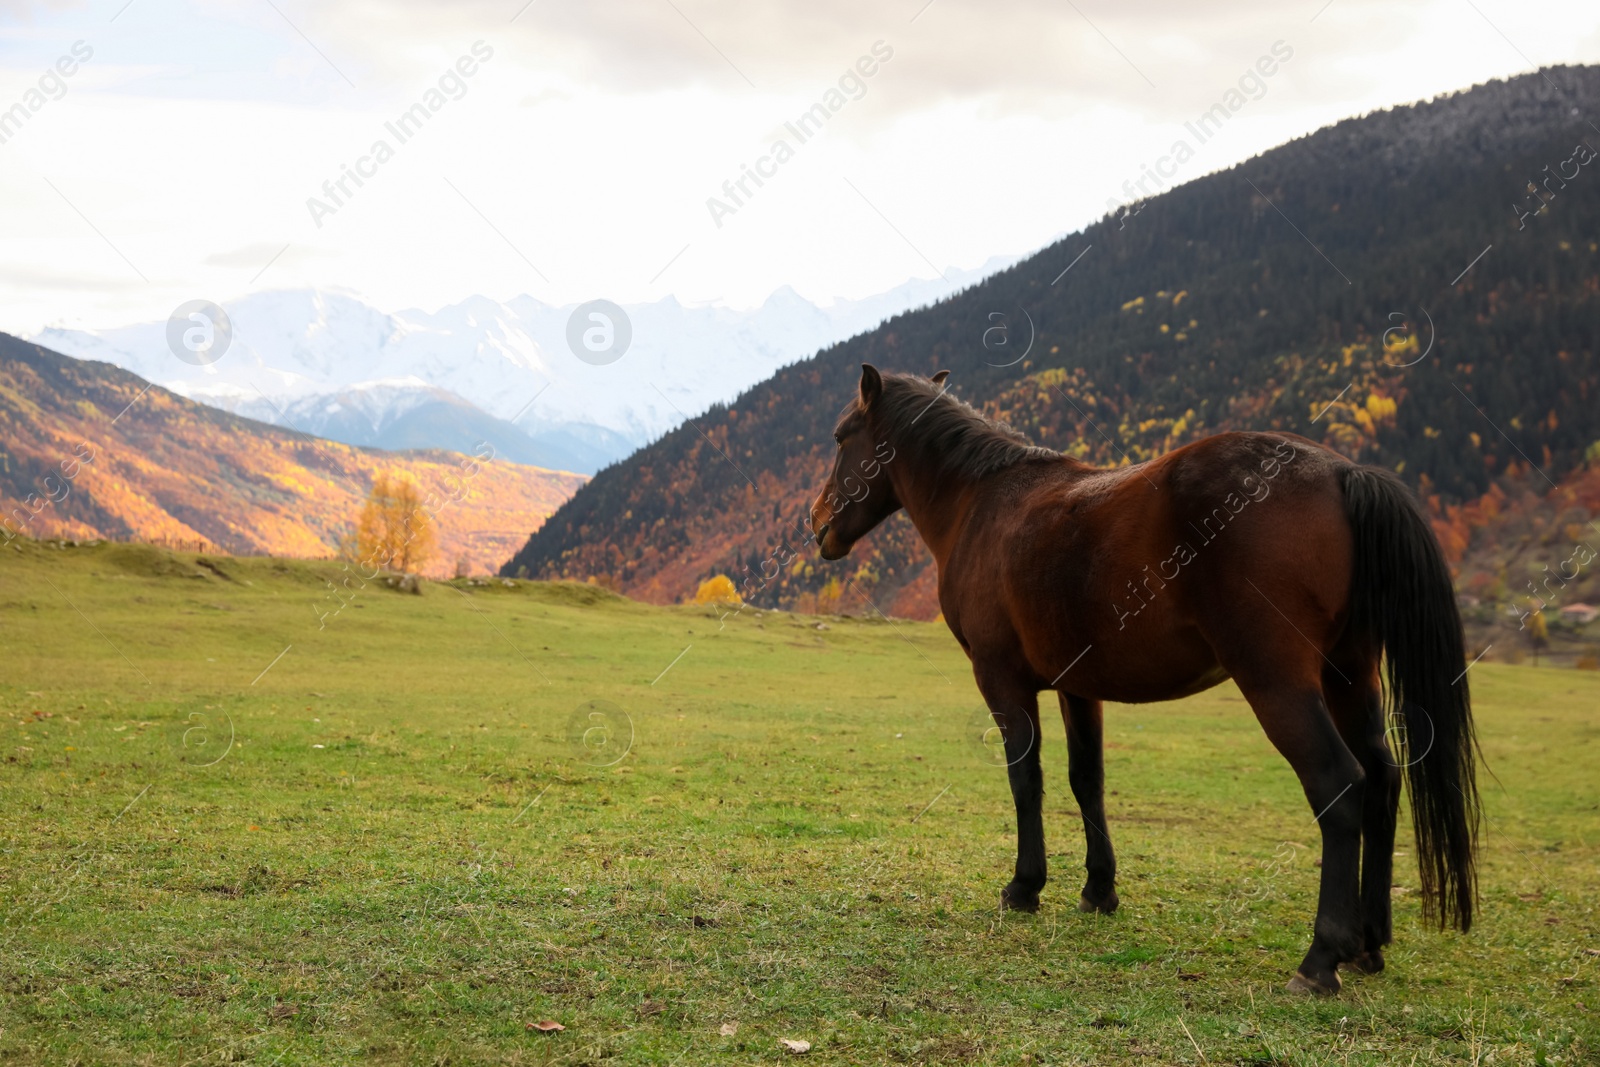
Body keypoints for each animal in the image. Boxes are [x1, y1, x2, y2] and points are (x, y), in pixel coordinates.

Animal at [812, 364, 1472, 991]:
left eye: (842, 435)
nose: (815, 520)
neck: (985, 501)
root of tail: (1341, 472)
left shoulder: (1003, 681)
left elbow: (1026, 779)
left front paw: (1024, 887)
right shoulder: (1078, 687)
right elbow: (1087, 781)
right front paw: (1098, 889)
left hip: (1279, 683)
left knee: (1339, 783)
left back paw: (1321, 959)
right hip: (1350, 677)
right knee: (1383, 778)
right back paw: (1369, 943)